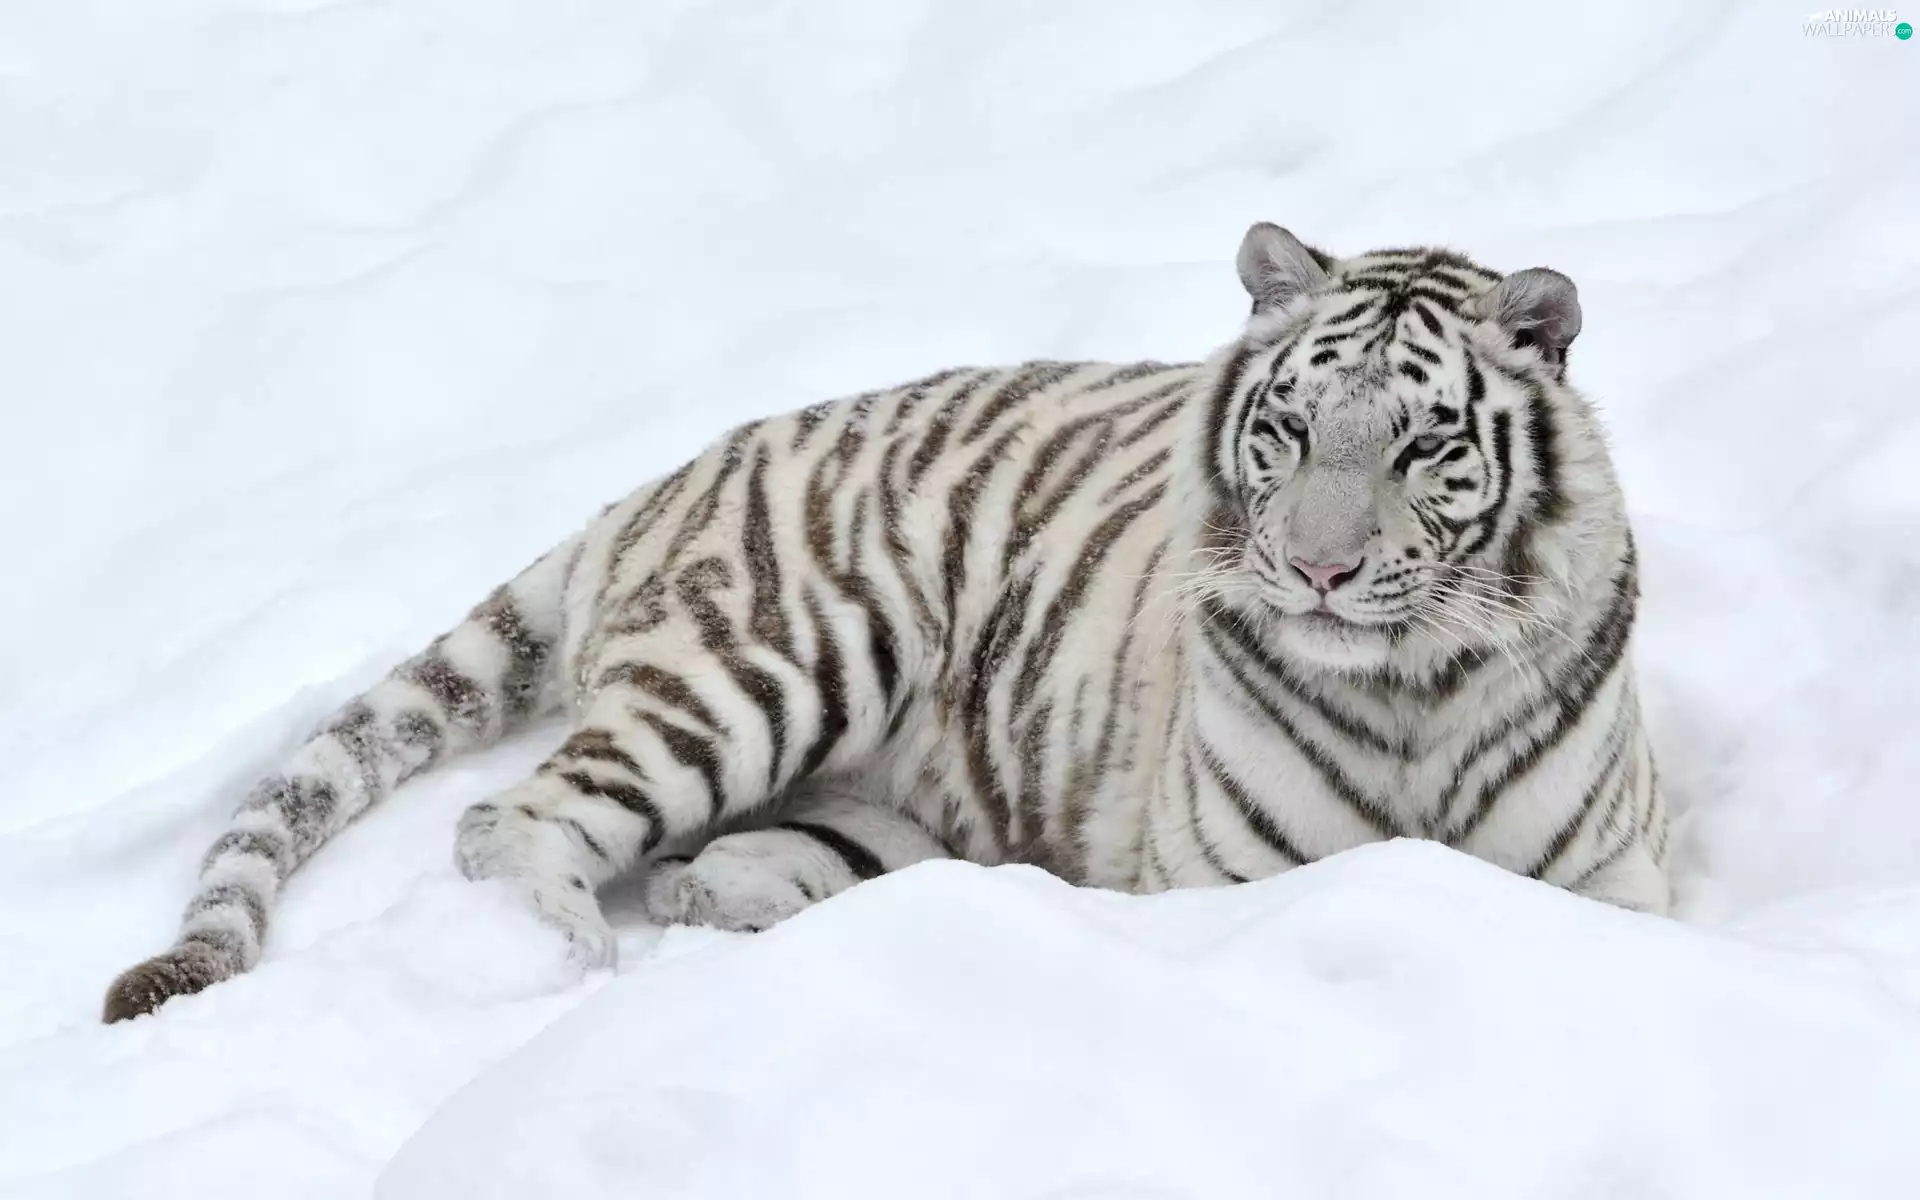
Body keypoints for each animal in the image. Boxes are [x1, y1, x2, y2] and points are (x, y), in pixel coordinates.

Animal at [102, 223, 1668, 1022]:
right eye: (1286, 430)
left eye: (1421, 444)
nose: (1316, 572)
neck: (1410, 690)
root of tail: (658, 483)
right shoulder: (1216, 886)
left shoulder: (1610, 880)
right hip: (773, 661)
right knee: (519, 817)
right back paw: (571, 965)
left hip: (878, 794)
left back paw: (720, 901)